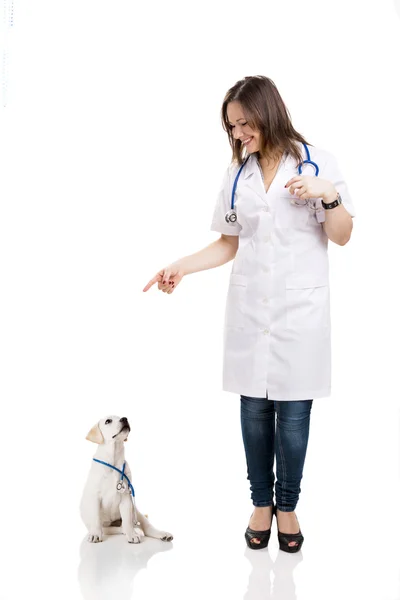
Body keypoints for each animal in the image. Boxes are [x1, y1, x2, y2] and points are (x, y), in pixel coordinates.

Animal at [80, 414, 173, 548]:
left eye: (121, 417)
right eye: (108, 421)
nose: (124, 418)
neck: (113, 460)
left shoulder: (126, 498)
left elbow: (127, 521)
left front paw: (132, 535)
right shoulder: (94, 497)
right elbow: (96, 519)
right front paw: (95, 535)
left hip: (136, 512)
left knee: (145, 527)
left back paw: (162, 534)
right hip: (104, 525)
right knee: (109, 528)